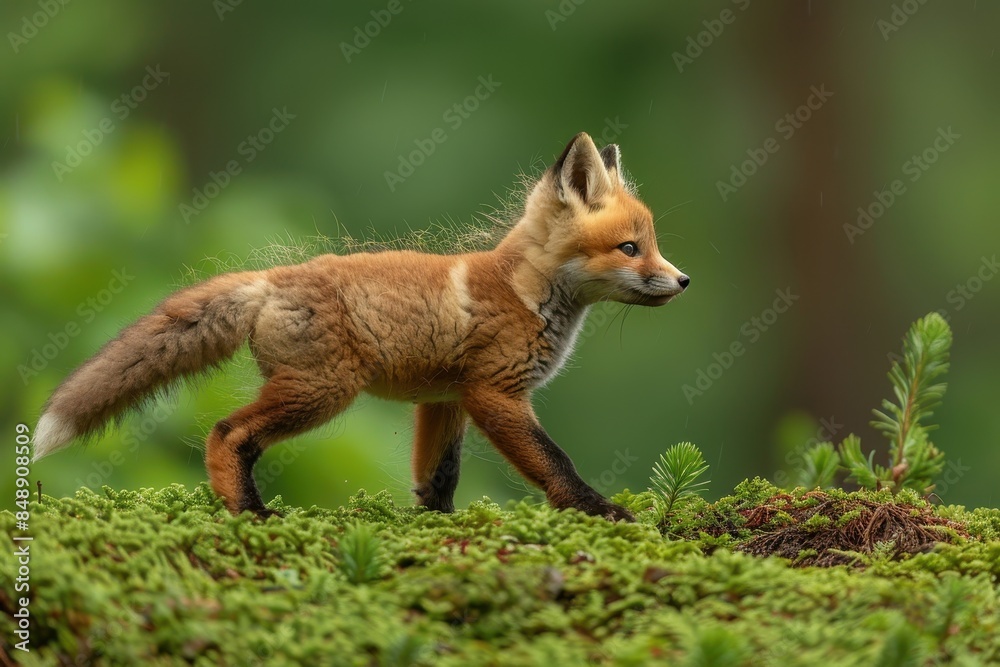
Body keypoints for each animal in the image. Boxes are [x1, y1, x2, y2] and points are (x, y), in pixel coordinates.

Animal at [33, 132, 689, 522]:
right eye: (630, 248)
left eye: (653, 246)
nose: (683, 281)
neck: (525, 294)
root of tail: (273, 277)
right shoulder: (495, 393)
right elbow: (555, 462)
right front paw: (598, 510)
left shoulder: (446, 398)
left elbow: (439, 476)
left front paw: (434, 524)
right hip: (323, 390)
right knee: (226, 433)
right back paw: (252, 514)